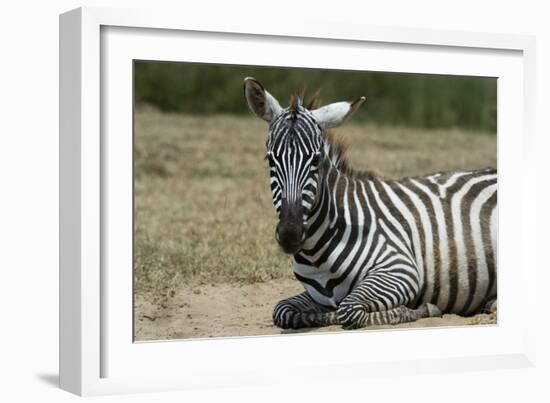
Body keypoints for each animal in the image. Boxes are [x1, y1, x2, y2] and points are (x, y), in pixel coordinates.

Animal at [244, 77, 498, 330]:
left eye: (316, 159)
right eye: (270, 159)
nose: (290, 234)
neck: (317, 253)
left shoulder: (401, 269)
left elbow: (348, 310)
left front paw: (422, 309)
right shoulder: (316, 295)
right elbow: (283, 310)